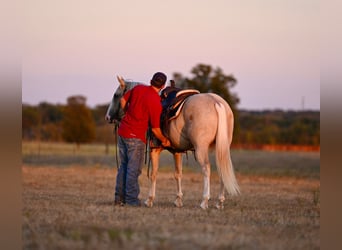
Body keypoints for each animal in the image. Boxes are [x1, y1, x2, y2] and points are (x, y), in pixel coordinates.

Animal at [105, 75, 239, 209]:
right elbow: (178, 174)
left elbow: (153, 174)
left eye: (116, 95)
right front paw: (178, 200)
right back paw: (220, 202)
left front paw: (149, 199)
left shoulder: (155, 149)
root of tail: (216, 102)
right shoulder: (177, 152)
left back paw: (204, 201)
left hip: (201, 149)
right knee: (222, 170)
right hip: (221, 148)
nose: (108, 117)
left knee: (206, 169)